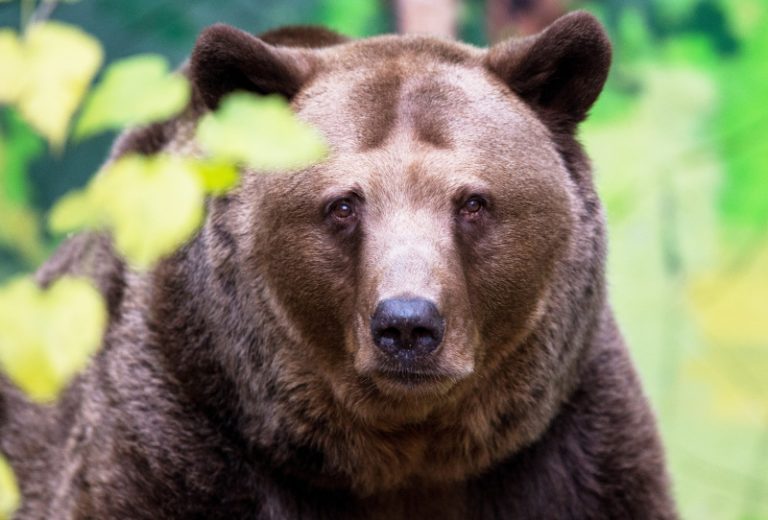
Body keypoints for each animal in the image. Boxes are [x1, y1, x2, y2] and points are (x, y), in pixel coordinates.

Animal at [0, 11, 677, 519]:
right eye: (343, 204)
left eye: (474, 201)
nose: (407, 325)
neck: (401, 455)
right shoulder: (178, 425)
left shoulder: (568, 444)